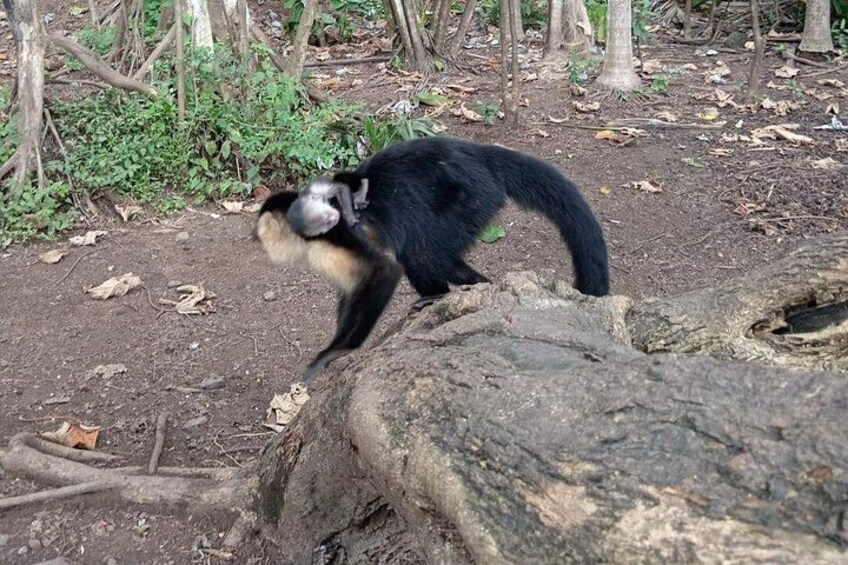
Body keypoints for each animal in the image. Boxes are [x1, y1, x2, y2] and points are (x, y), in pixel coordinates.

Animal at [256, 136, 610, 383]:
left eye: (330, 218)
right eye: (320, 219)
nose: (337, 217)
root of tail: (478, 153)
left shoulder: (336, 239)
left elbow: (386, 269)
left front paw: (336, 352)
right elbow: (352, 292)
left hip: (472, 196)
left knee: (423, 254)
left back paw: (448, 293)